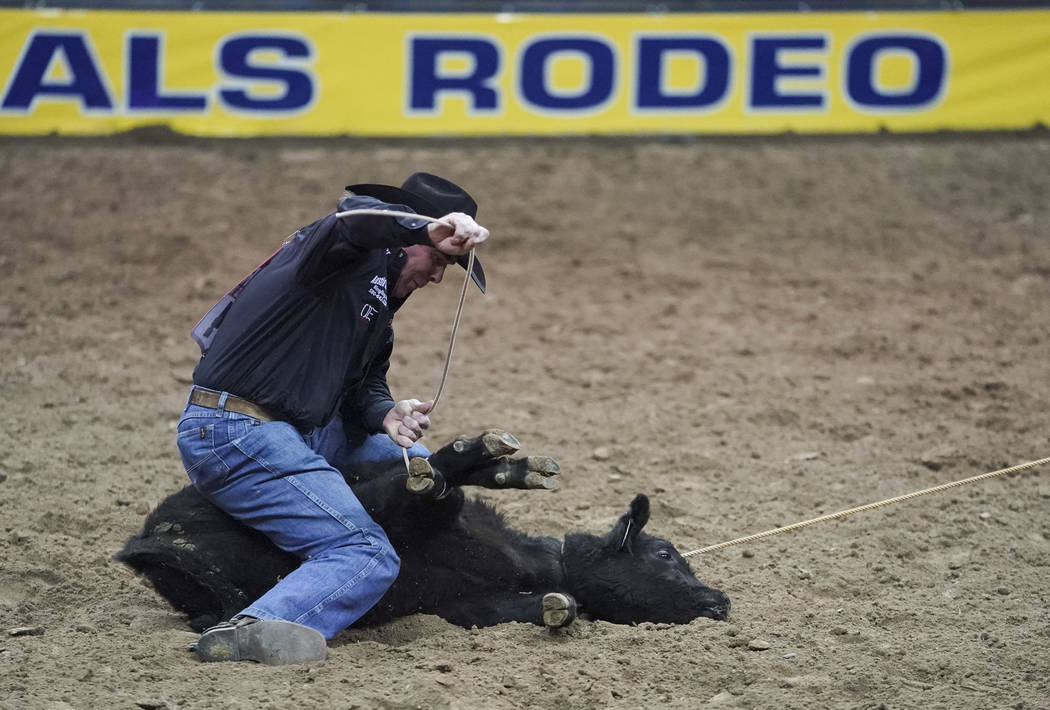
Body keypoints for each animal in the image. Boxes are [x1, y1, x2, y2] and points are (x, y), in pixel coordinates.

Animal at [117, 430, 730, 630]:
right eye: (665, 554)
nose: (721, 601)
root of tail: (154, 538)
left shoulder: (463, 605)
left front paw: (558, 609)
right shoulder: (406, 517)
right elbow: (430, 487)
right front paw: (484, 457)